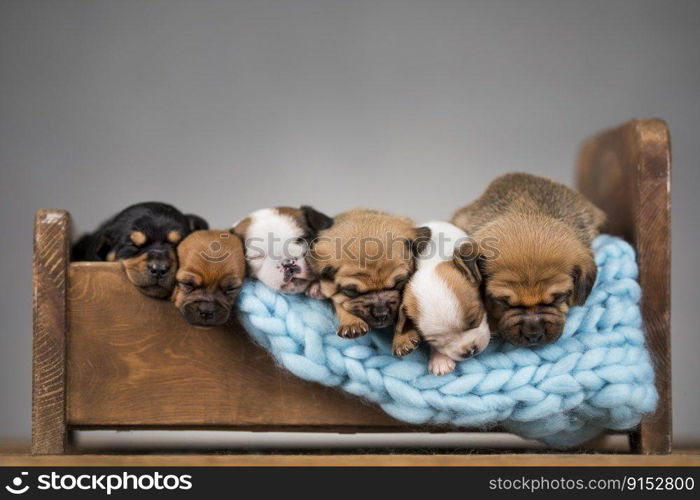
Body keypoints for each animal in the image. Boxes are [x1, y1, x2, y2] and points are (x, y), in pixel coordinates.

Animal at [312, 207, 432, 348]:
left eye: (399, 283)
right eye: (351, 291)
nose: (381, 314)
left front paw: (403, 338)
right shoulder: (330, 289)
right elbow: (339, 303)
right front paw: (351, 322)